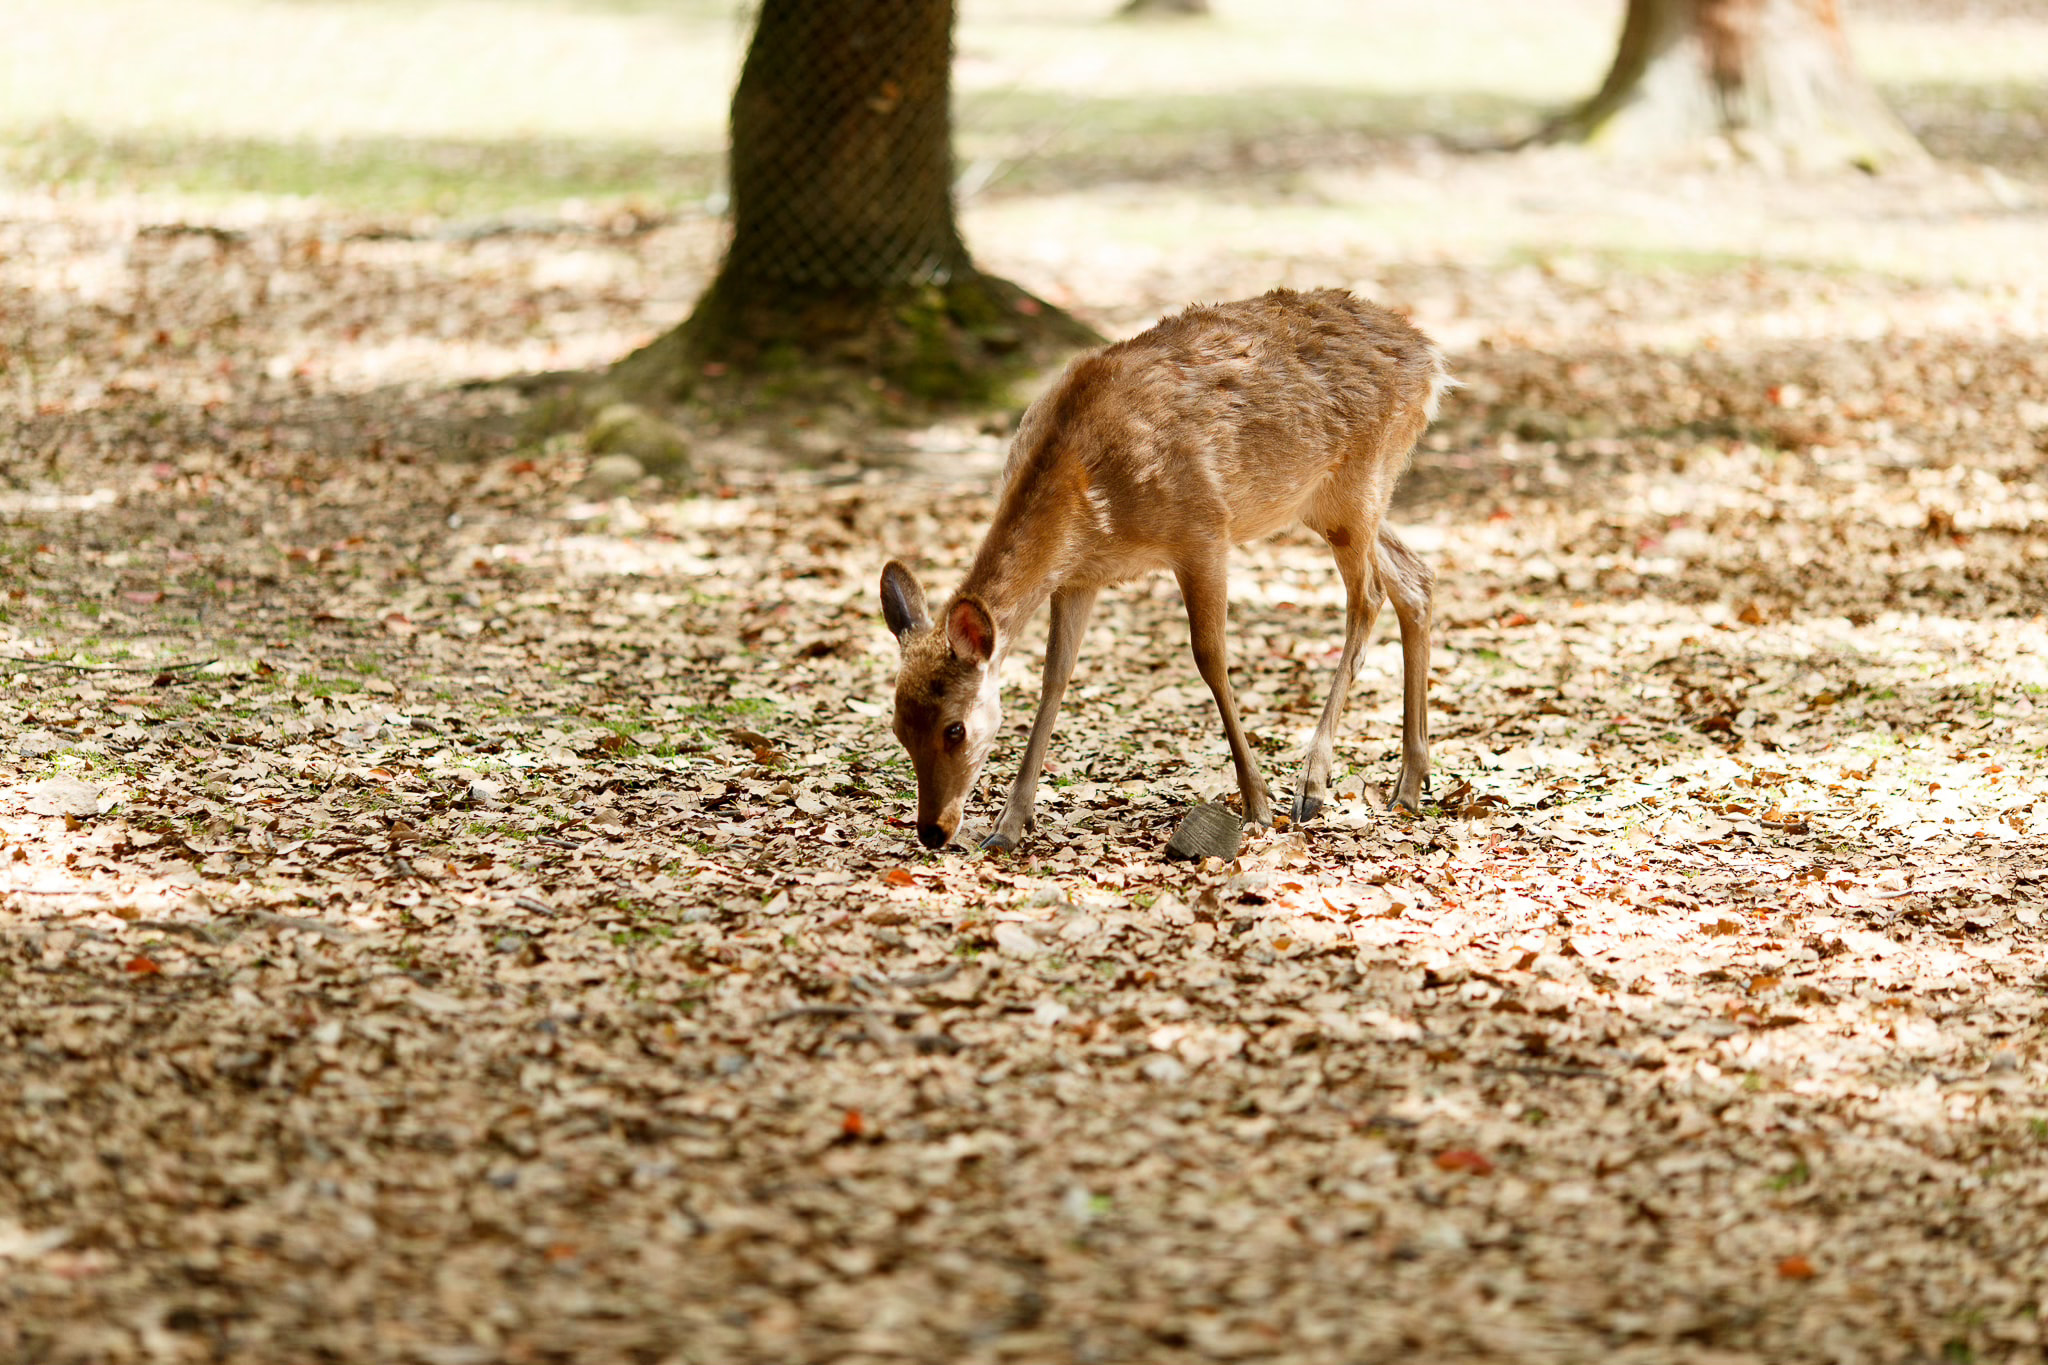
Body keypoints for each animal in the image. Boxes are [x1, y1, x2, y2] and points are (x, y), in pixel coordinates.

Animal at [879, 287, 1451, 852]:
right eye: (898, 728)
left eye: (955, 729)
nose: (932, 831)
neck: (1089, 504)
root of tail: (1432, 358)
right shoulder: (1078, 578)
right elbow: (1055, 677)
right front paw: (1008, 826)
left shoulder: (1203, 532)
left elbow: (1210, 658)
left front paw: (1257, 805)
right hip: (1326, 503)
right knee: (1416, 579)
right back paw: (1408, 787)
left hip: (1360, 479)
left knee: (1369, 597)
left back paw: (1312, 786)